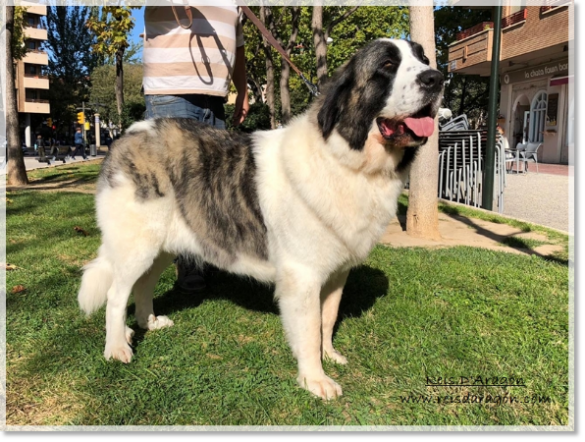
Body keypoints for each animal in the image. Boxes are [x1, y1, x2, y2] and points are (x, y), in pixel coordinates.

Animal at [78, 39, 442, 400]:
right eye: (387, 66)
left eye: (423, 58)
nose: (436, 78)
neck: (348, 161)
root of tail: (126, 135)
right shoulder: (303, 276)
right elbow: (309, 328)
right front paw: (315, 379)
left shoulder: (338, 273)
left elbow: (327, 318)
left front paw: (328, 355)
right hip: (137, 246)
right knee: (116, 295)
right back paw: (116, 347)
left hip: (161, 247)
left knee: (142, 284)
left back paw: (146, 323)